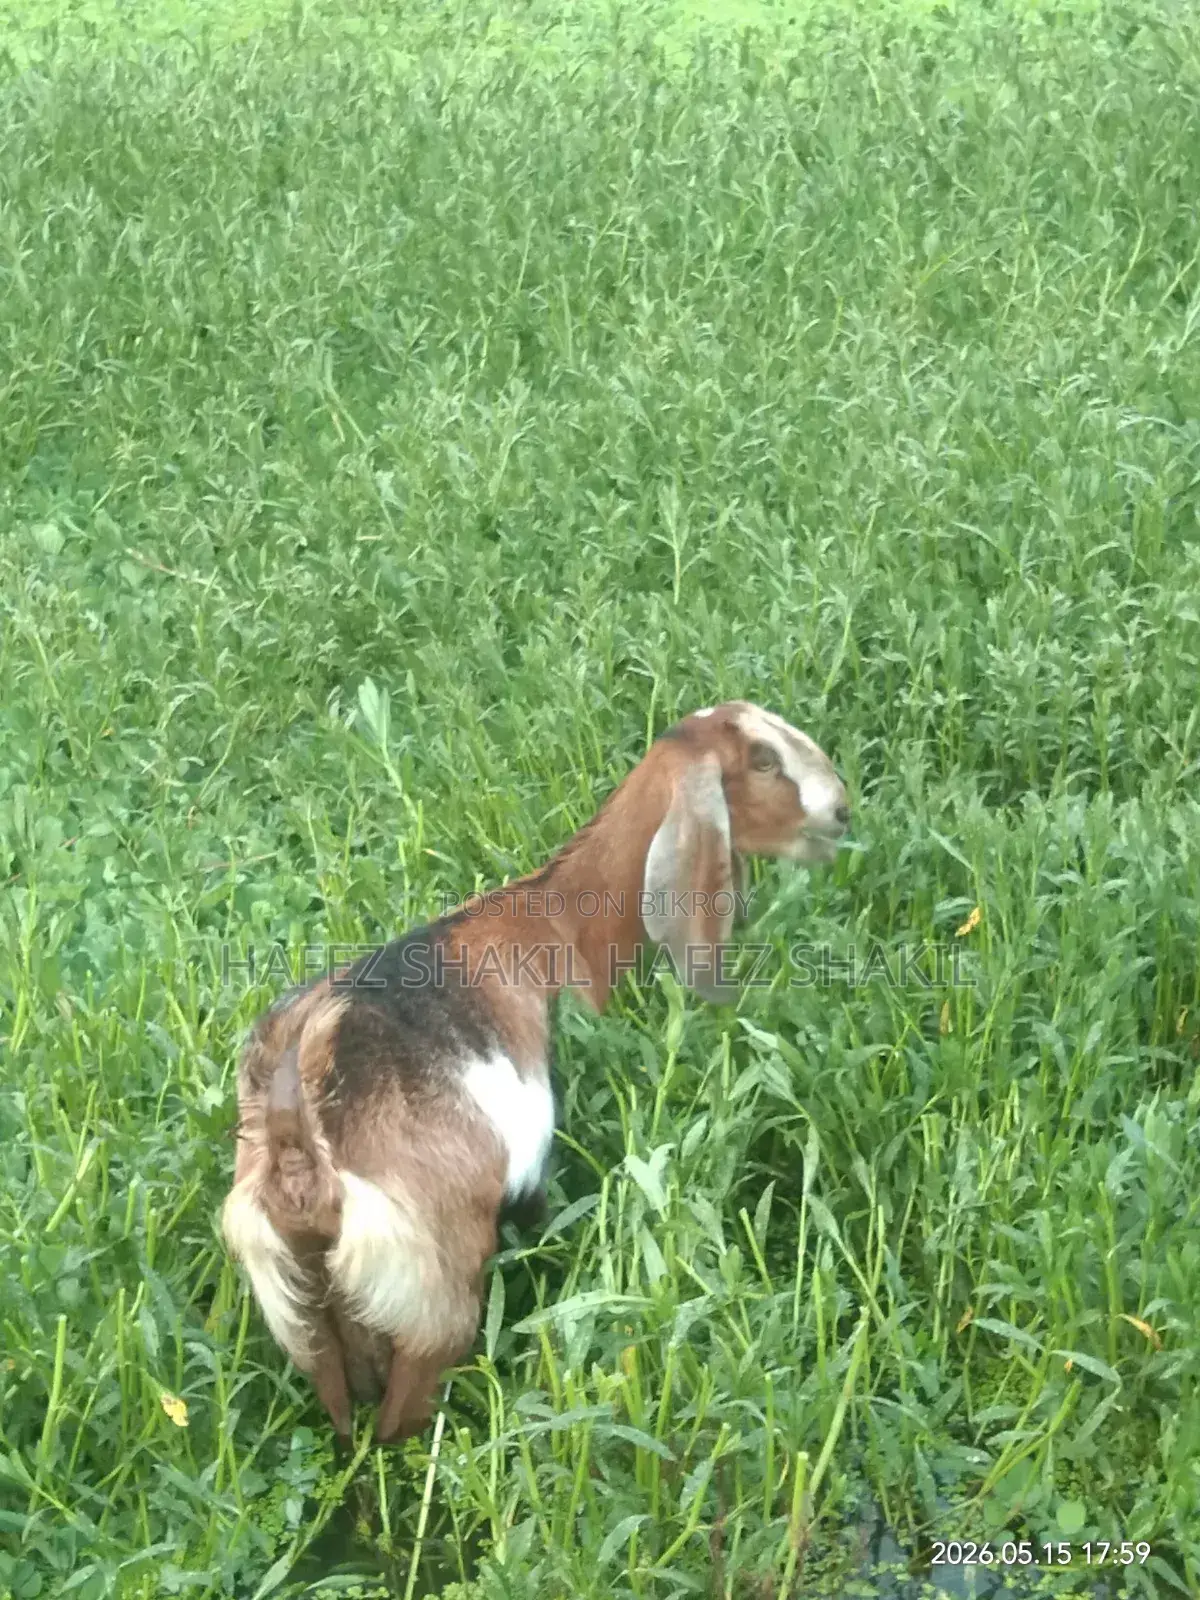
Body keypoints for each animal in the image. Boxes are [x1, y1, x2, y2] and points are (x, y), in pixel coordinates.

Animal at [220, 701, 850, 1441]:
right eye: (762, 760)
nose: (841, 811)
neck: (556, 922)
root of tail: (301, 1158)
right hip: (433, 1294)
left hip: (306, 1322)